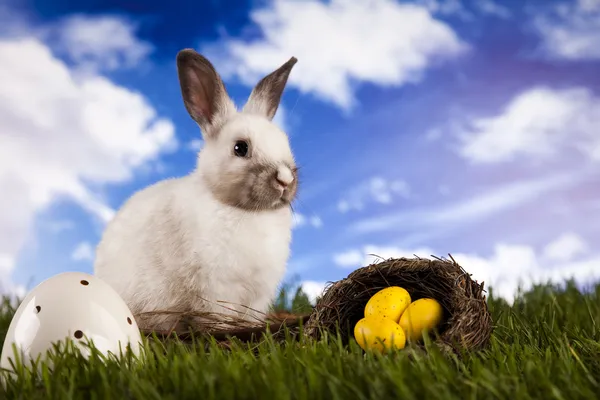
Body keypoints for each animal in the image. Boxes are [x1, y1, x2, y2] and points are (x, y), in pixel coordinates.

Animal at [94, 48, 300, 332]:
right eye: (240, 148)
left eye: (286, 142)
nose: (285, 180)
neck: (246, 211)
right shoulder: (215, 289)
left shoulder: (258, 295)